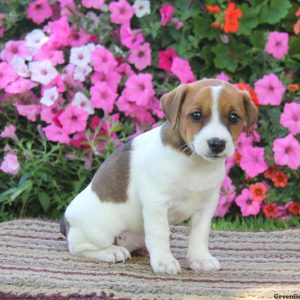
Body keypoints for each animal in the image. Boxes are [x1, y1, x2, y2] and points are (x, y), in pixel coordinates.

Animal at [60, 79, 258, 274]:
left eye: (234, 117)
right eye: (196, 115)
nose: (216, 144)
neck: (194, 161)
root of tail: (66, 221)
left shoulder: (207, 204)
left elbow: (200, 233)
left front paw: (200, 258)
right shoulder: (156, 203)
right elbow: (159, 233)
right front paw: (164, 261)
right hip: (98, 232)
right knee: (79, 247)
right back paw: (112, 252)